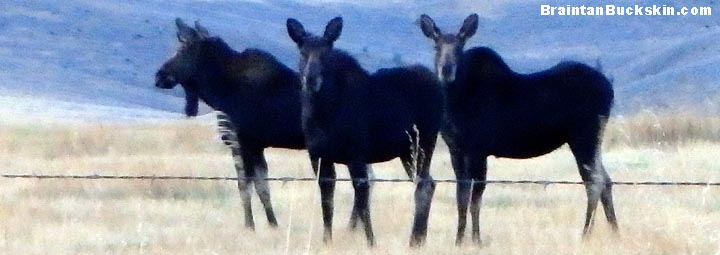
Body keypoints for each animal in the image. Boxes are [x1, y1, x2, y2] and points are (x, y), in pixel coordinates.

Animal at [286, 16, 444, 247]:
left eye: (326, 54)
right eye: (302, 52)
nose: (311, 78)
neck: (321, 114)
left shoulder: (357, 155)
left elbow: (362, 200)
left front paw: (371, 242)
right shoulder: (319, 157)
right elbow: (327, 202)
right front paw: (327, 240)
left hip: (423, 143)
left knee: (423, 185)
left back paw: (415, 239)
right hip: (407, 152)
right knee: (429, 183)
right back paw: (419, 238)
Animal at [422, 13, 620, 245]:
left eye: (460, 47)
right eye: (436, 46)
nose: (446, 69)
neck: (454, 103)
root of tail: (609, 89)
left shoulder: (477, 150)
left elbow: (475, 199)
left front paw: (477, 240)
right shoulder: (456, 150)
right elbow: (461, 197)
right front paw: (459, 240)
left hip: (583, 137)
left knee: (594, 182)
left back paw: (586, 234)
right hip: (593, 140)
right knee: (606, 180)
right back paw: (615, 232)